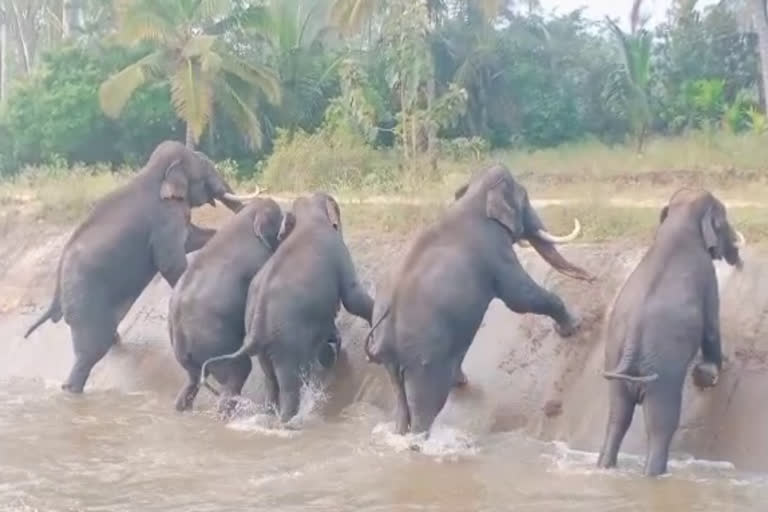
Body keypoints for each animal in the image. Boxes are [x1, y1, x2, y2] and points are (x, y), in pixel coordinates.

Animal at [24, 139, 260, 392]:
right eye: (206, 169)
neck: (153, 170)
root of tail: (56, 290)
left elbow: (192, 239)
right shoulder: (164, 218)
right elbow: (170, 261)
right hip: (84, 302)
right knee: (90, 352)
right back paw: (71, 390)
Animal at [170, 195, 284, 412]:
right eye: (280, 214)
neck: (246, 217)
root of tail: (180, 338)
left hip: (191, 360)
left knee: (190, 384)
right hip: (214, 344)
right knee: (238, 372)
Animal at [202, 192, 374, 424]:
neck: (308, 218)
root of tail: (256, 330)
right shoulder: (338, 251)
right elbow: (352, 297)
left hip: (266, 350)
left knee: (270, 381)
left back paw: (269, 415)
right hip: (285, 343)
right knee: (289, 385)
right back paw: (289, 421)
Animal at [364, 164, 592, 436]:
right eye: (525, 197)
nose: (593, 278)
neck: (473, 196)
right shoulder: (495, 251)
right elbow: (520, 297)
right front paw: (574, 326)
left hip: (391, 360)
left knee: (400, 401)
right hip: (424, 355)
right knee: (426, 405)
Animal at [592, 187, 744, 476]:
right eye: (724, 219)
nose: (738, 261)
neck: (680, 219)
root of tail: (632, 341)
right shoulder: (707, 276)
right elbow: (711, 325)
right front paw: (715, 371)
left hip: (614, 360)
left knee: (617, 418)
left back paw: (606, 467)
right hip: (663, 372)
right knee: (661, 425)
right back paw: (655, 475)